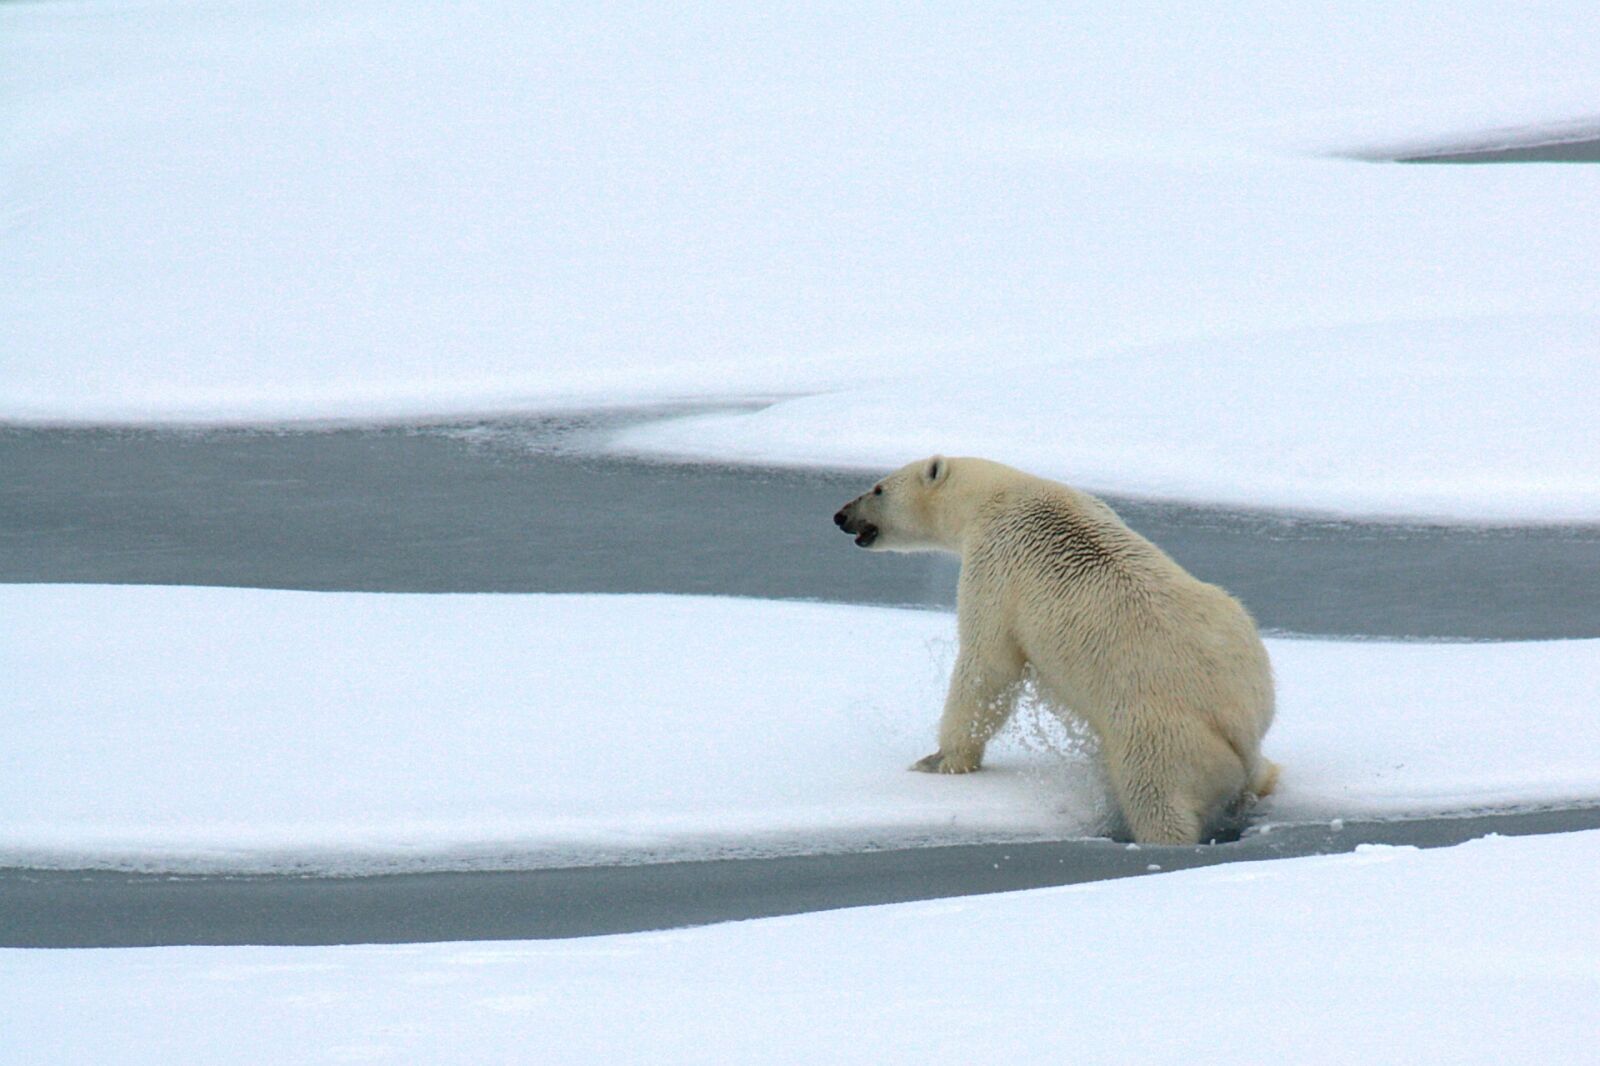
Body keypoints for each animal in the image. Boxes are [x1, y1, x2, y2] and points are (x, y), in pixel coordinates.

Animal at [834, 456, 1277, 845]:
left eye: (878, 488)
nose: (840, 516)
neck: (998, 495)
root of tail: (1236, 723)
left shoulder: (995, 565)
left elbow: (988, 666)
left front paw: (940, 760)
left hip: (1160, 736)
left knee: (1156, 798)